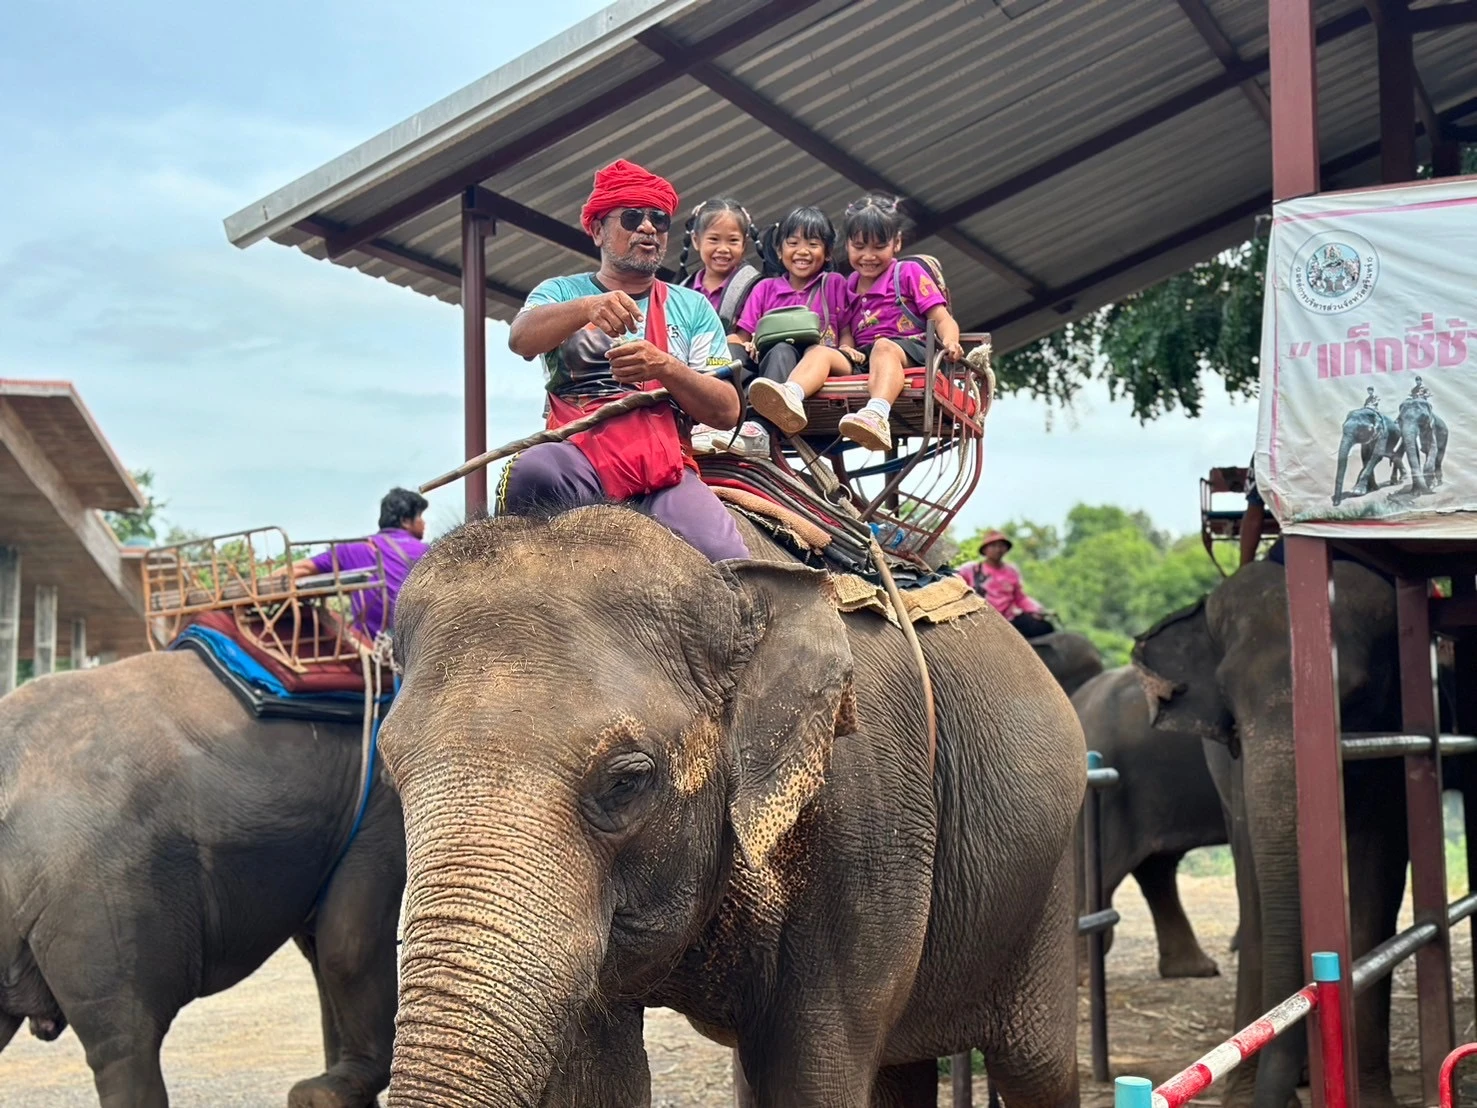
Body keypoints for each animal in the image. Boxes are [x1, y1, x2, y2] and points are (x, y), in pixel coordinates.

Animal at [378, 511, 1087, 1108]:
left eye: (626, 783)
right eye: (389, 774)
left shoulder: (868, 816)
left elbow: (815, 1073)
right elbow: (600, 1076)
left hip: (1049, 881)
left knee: (1034, 1066)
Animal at [1128, 564, 1406, 1108]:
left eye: (1355, 695)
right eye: (1227, 696)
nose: (1285, 1098)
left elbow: (1377, 866)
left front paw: (1372, 1097)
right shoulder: (1235, 768)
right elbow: (1253, 874)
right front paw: (1243, 1097)